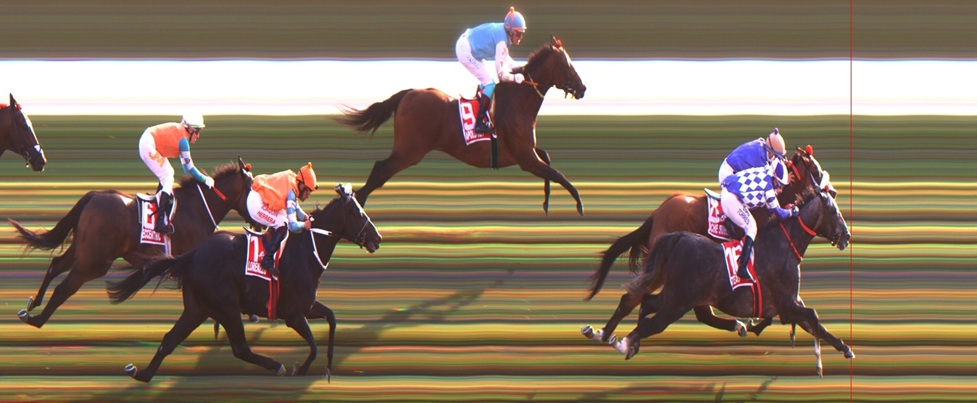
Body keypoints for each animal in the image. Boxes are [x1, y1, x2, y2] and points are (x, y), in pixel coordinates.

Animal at [8, 157, 255, 328]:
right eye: (256, 190)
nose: (258, 222)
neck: (199, 208)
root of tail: (95, 195)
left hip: (83, 249)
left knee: (56, 265)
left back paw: (33, 304)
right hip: (94, 261)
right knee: (64, 287)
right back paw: (37, 319)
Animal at [107, 184, 382, 382]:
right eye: (358, 213)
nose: (378, 238)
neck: (306, 251)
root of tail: (193, 254)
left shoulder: (308, 306)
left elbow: (332, 318)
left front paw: (329, 366)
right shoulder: (293, 314)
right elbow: (313, 345)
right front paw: (301, 369)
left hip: (198, 308)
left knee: (169, 339)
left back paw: (142, 374)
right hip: (226, 308)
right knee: (240, 348)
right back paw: (277, 365)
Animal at [336, 36, 587, 215]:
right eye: (567, 66)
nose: (583, 88)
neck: (518, 101)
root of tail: (408, 93)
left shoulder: (526, 152)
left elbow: (548, 159)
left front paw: (546, 202)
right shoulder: (525, 158)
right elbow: (558, 173)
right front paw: (579, 204)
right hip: (409, 151)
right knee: (380, 169)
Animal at [584, 146, 840, 337]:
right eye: (815, 169)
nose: (833, 192)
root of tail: (658, 212)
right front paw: (756, 322)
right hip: (670, 270)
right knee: (646, 300)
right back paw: (605, 333)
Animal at [591, 189, 853, 376]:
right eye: (833, 211)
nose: (847, 236)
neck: (783, 244)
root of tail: (675, 236)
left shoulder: (788, 305)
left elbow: (815, 325)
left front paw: (842, 349)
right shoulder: (788, 305)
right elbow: (814, 318)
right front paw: (825, 360)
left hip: (675, 296)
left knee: (645, 302)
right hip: (678, 301)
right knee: (649, 318)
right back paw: (622, 342)